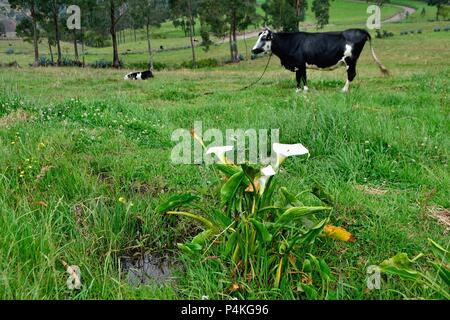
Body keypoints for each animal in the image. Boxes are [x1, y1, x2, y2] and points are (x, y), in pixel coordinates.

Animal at [251, 28, 388, 92]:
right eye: (259, 37)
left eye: (264, 38)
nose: (253, 50)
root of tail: (360, 30)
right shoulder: (299, 65)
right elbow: (300, 78)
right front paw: (300, 90)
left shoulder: (300, 64)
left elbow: (301, 78)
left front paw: (302, 90)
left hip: (350, 60)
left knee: (351, 74)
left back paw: (344, 90)